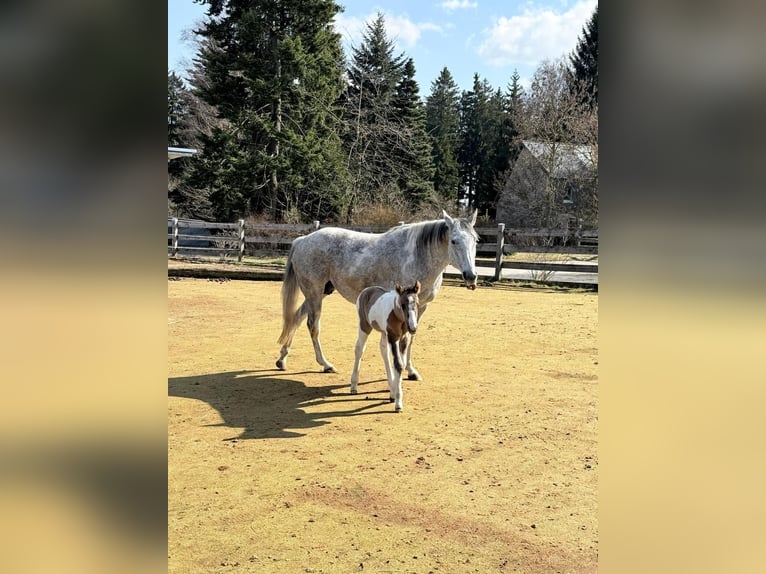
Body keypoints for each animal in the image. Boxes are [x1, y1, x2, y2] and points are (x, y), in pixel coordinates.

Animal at [276, 209, 479, 377]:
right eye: (454, 241)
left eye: (475, 240)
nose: (471, 276)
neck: (417, 256)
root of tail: (303, 240)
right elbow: (402, 339)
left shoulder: (421, 307)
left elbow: (411, 338)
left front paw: (411, 371)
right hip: (314, 293)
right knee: (313, 326)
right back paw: (325, 364)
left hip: (320, 292)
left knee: (297, 318)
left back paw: (282, 359)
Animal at [350, 282, 421, 412]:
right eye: (403, 305)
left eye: (417, 304)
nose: (413, 328)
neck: (398, 317)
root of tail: (367, 290)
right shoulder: (393, 337)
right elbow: (398, 364)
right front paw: (398, 402)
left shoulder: (404, 338)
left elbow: (401, 364)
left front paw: (394, 393)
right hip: (364, 326)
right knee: (359, 349)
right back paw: (353, 386)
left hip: (383, 332)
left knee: (383, 351)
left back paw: (391, 388)